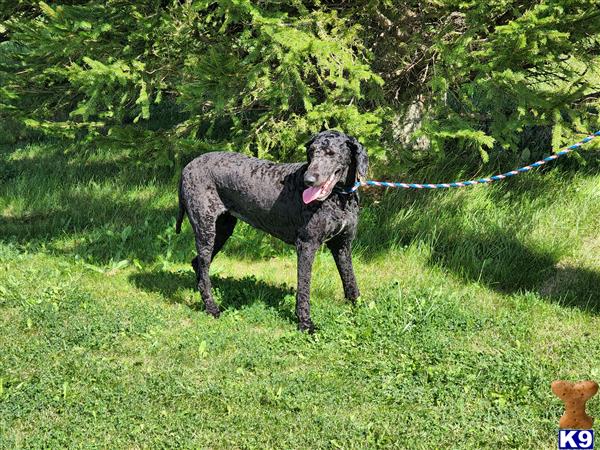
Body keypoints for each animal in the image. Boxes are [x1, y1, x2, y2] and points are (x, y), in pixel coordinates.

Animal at [176, 129, 368, 330]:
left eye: (331, 153)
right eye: (311, 152)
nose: (308, 180)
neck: (340, 198)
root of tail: (187, 167)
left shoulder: (342, 245)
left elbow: (350, 279)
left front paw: (358, 308)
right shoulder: (307, 244)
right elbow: (304, 287)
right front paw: (305, 323)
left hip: (222, 230)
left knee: (198, 264)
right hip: (205, 229)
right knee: (204, 266)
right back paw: (211, 307)